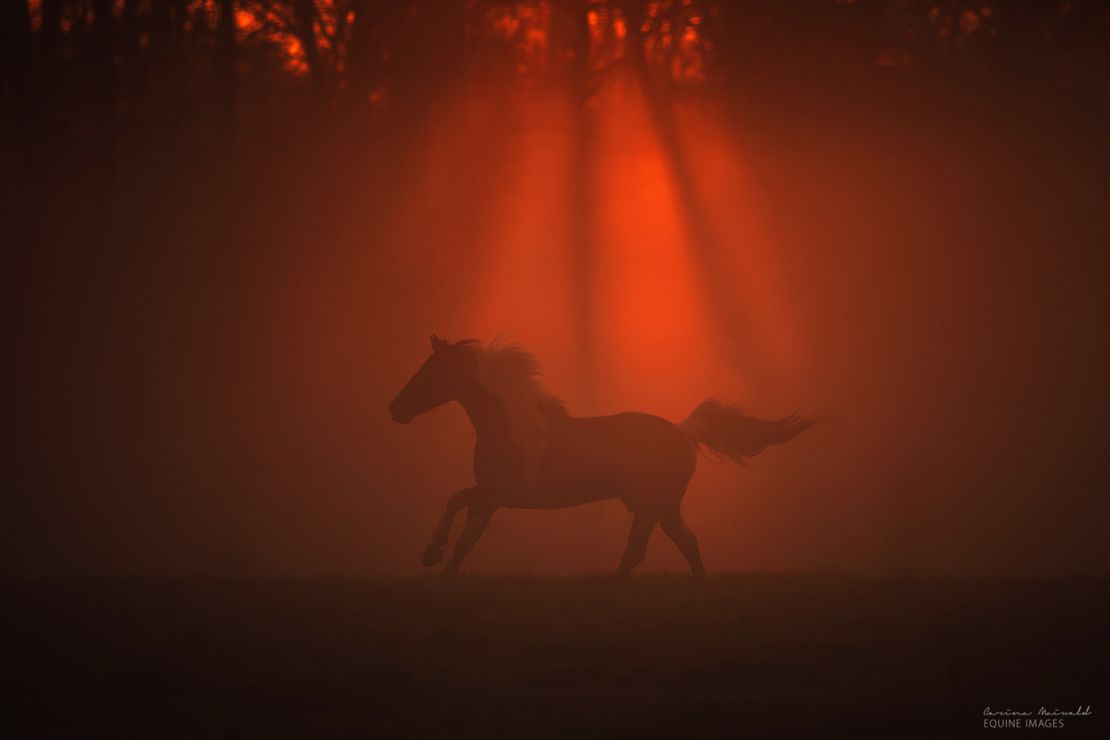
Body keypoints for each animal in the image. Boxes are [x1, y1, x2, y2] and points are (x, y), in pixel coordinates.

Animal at [386, 335, 812, 572]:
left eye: (431, 371)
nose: (395, 408)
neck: (511, 428)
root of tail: (684, 432)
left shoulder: (500, 494)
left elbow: (456, 507)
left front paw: (431, 554)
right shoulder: (489, 498)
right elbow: (463, 537)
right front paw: (438, 561)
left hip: (654, 505)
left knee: (642, 550)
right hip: (658, 508)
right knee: (680, 544)